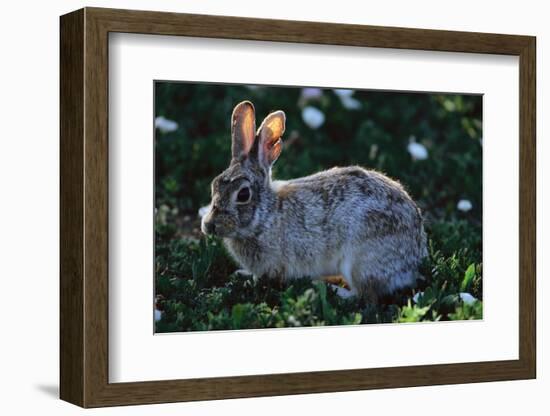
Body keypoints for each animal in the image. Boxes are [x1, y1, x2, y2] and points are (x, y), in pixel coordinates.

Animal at [201, 101, 430, 302]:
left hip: (359, 260)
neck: (265, 217)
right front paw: (242, 273)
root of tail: (412, 262)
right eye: (214, 185)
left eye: (243, 195)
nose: (208, 225)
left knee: (365, 294)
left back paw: (330, 288)